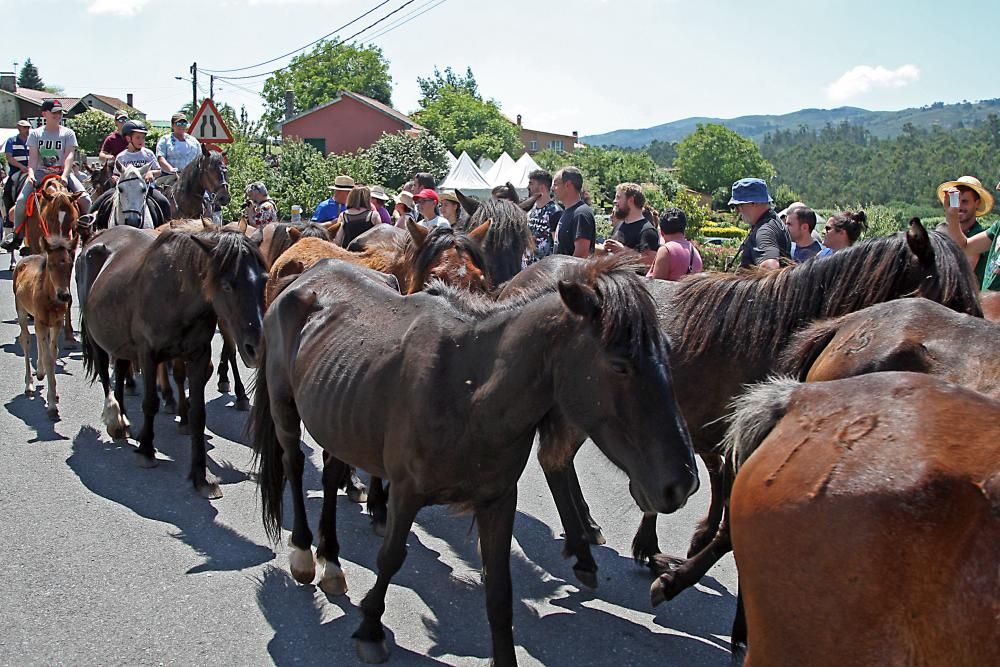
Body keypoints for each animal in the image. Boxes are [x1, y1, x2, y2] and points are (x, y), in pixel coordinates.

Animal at [78, 227, 268, 498]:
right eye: (226, 285)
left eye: (263, 279)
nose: (256, 348)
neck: (176, 295)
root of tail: (96, 237)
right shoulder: (148, 355)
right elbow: (150, 403)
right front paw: (147, 451)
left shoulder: (199, 357)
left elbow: (198, 415)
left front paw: (200, 477)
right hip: (97, 338)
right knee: (105, 373)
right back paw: (115, 418)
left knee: (121, 369)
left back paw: (124, 420)